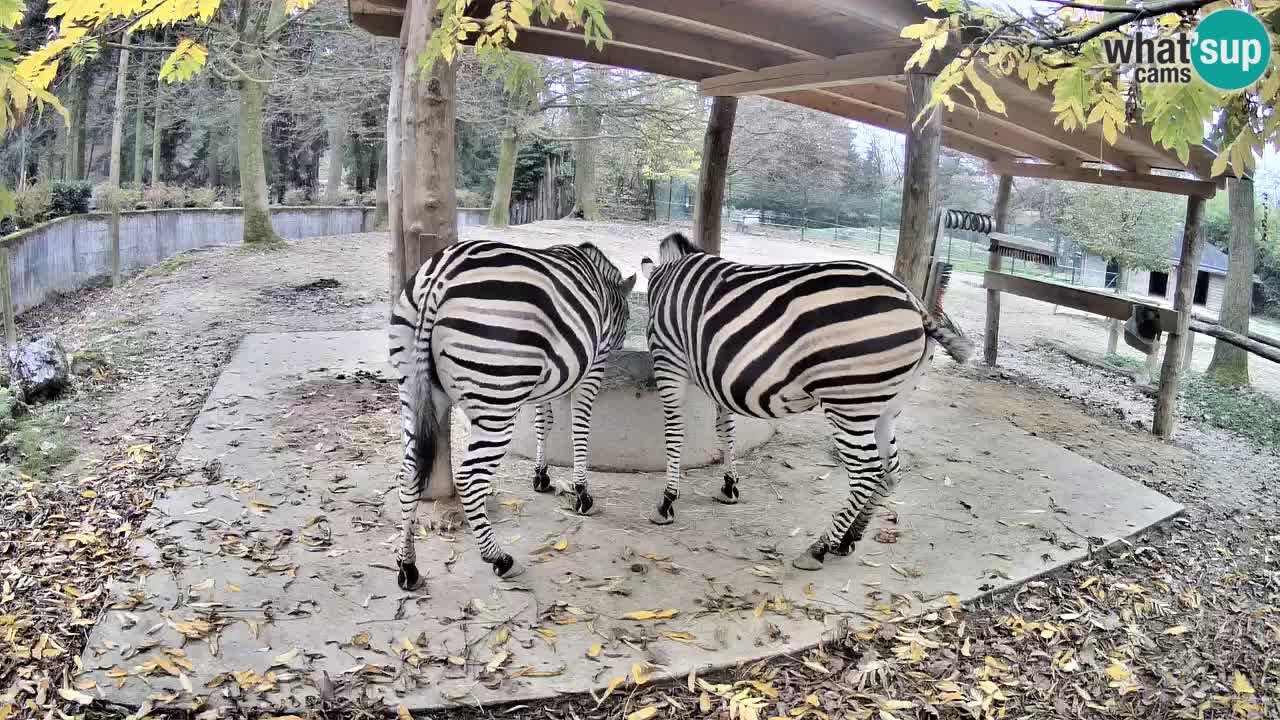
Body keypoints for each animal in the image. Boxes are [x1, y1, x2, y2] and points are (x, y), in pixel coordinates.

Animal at [389, 239, 635, 590]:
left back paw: (408, 566)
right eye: (625, 318)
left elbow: (544, 422)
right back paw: (499, 559)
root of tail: (439, 279)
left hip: (412, 389)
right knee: (469, 480)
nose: (622, 344)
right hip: (497, 403)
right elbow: (580, 426)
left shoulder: (543, 379)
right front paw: (582, 493)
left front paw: (541, 476)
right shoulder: (592, 367)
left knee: (409, 474)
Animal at [639, 232, 972, 571]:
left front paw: (667, 501)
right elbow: (726, 430)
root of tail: (915, 303)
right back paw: (849, 539)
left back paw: (819, 548)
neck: (667, 277)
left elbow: (675, 435)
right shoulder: (715, 374)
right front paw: (729, 485)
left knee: (867, 473)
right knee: (892, 470)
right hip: (886, 407)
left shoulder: (668, 359)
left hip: (849, 404)